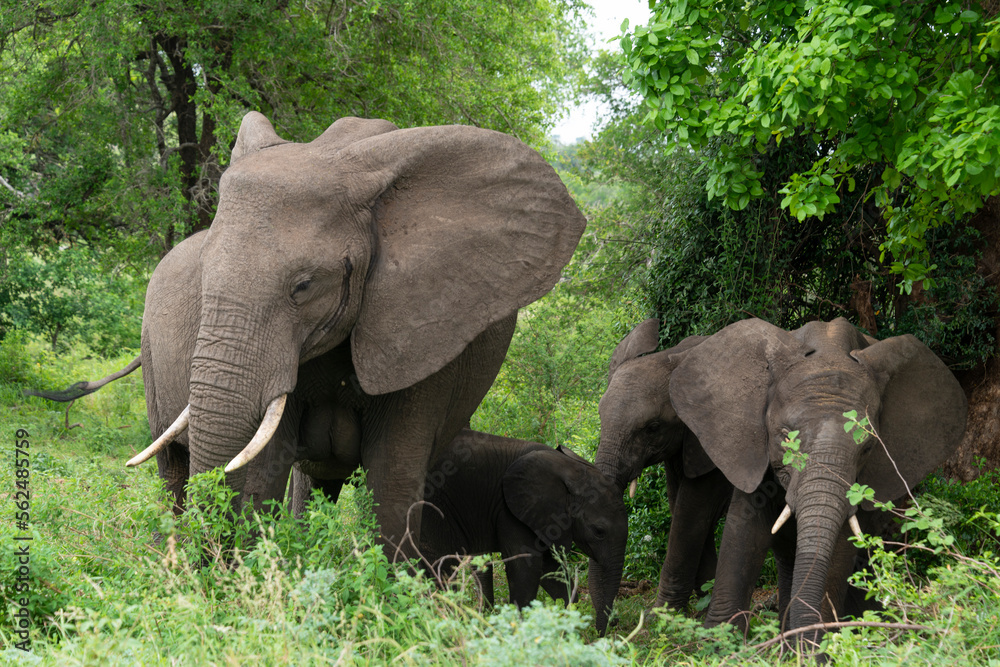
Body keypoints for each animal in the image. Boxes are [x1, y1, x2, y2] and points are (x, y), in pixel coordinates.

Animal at [49, 112, 586, 560]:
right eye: (203, 274)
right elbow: (263, 468)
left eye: (304, 287)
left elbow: (393, 477)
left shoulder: (427, 327)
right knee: (174, 470)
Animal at [408, 428, 627, 635]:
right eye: (599, 531)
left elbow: (550, 569)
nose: (601, 633)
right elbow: (526, 569)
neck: (570, 469)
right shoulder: (510, 510)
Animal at [593, 319, 732, 610]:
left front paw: (663, 614)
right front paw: (704, 602)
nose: (610, 618)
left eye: (653, 427)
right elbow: (680, 504)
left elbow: (690, 514)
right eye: (600, 418)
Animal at [667, 317, 967, 649]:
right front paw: (718, 647)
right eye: (785, 437)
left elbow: (840, 549)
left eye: (868, 447)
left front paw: (814, 651)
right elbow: (743, 533)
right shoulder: (753, 454)